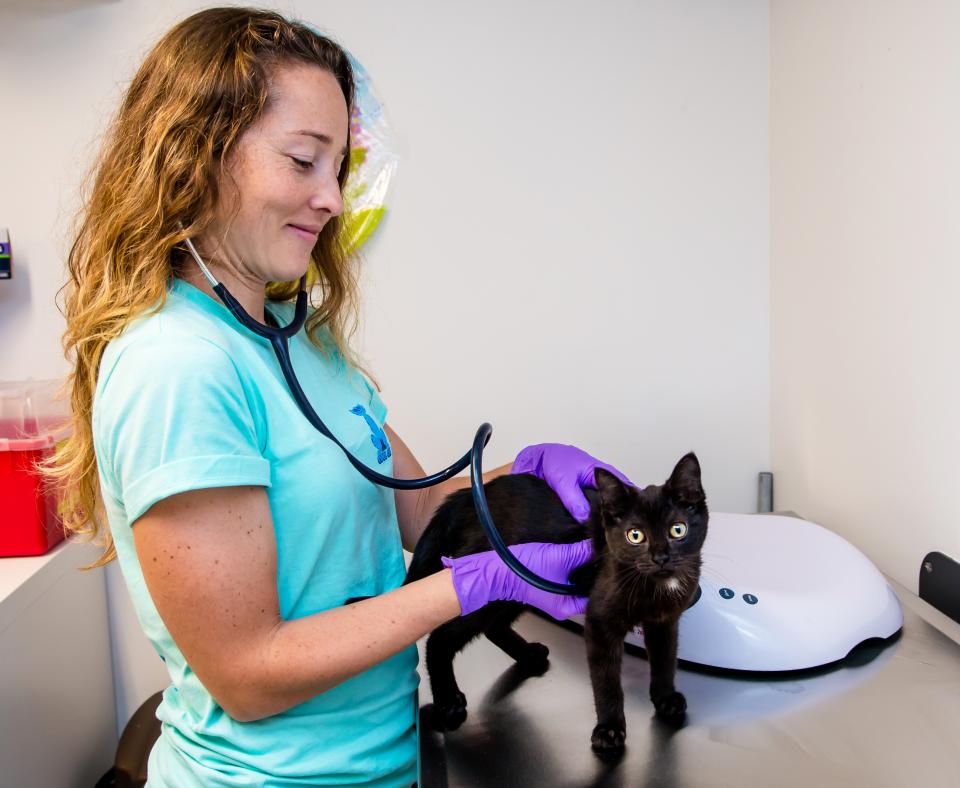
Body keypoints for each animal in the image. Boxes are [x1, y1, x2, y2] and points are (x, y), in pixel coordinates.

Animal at [402, 452, 708, 756]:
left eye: (677, 530)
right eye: (635, 535)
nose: (661, 558)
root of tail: (467, 496)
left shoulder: (664, 621)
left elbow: (665, 658)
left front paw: (665, 698)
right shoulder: (600, 622)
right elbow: (606, 680)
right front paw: (609, 729)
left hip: (517, 587)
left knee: (493, 626)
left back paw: (528, 653)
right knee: (440, 638)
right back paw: (448, 700)